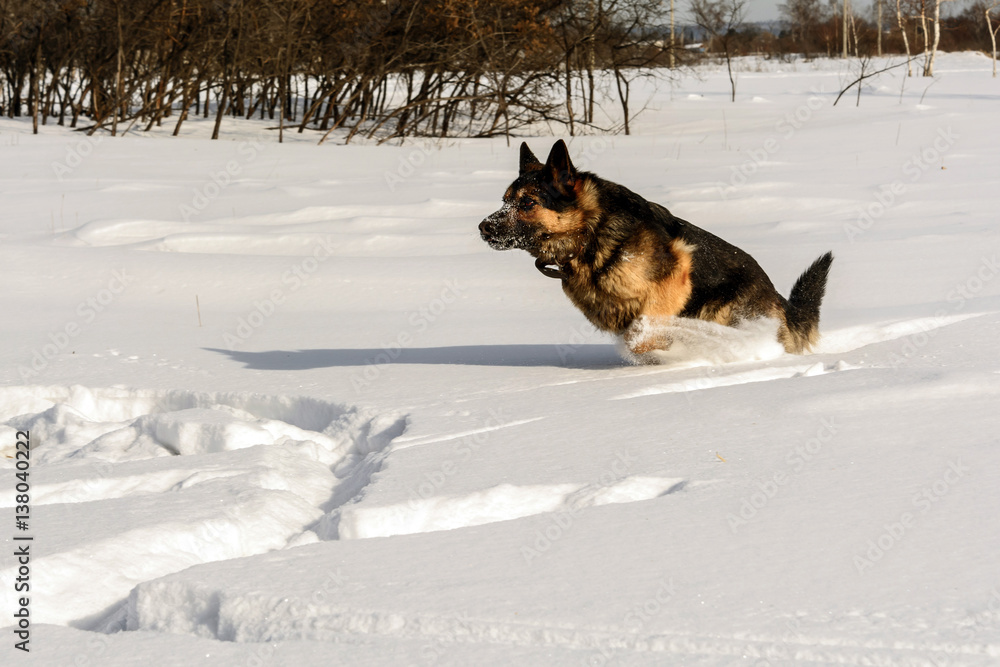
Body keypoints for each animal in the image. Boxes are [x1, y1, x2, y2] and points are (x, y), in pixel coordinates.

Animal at [478, 140, 836, 360]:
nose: (483, 228)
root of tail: (778, 299)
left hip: (722, 310)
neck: (592, 232)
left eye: (527, 203)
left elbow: (640, 335)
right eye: (505, 201)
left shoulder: (673, 282)